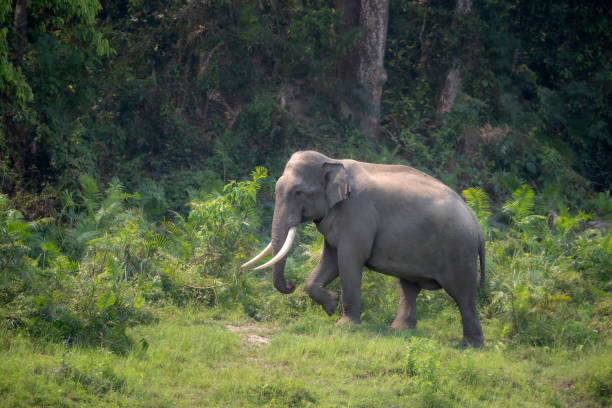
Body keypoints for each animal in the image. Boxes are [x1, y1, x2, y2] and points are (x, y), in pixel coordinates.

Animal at [241, 151, 486, 348]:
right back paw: (398, 330)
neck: (332, 160)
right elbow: (330, 260)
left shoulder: (356, 214)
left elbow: (348, 261)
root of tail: (478, 226)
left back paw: (469, 346)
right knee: (409, 287)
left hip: (459, 252)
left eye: (298, 193)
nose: (291, 284)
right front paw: (331, 305)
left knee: (463, 297)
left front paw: (345, 325)